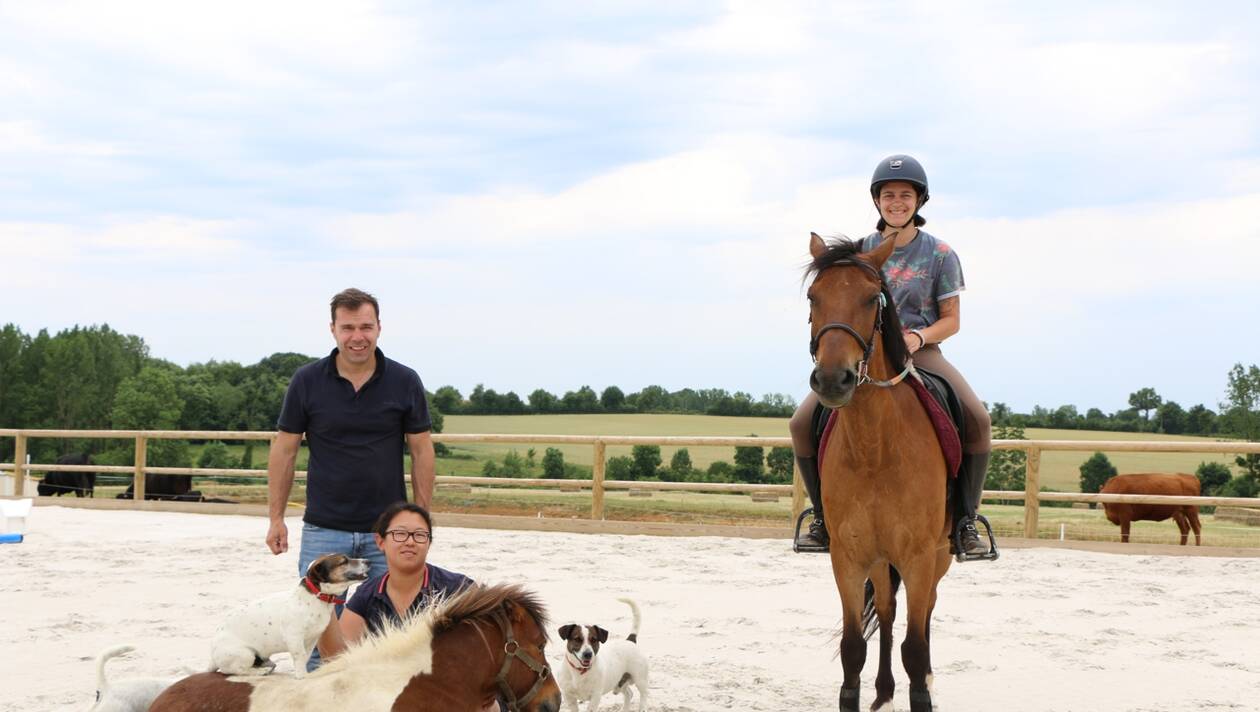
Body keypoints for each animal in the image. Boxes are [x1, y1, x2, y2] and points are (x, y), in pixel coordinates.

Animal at [207, 549, 367, 675]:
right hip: (245, 654)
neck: (315, 597)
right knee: (234, 670)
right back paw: (260, 671)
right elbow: (299, 657)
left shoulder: (312, 639)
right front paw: (302, 676)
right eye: (343, 561)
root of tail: (212, 658)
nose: (368, 561)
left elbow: (305, 657)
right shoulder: (294, 637)